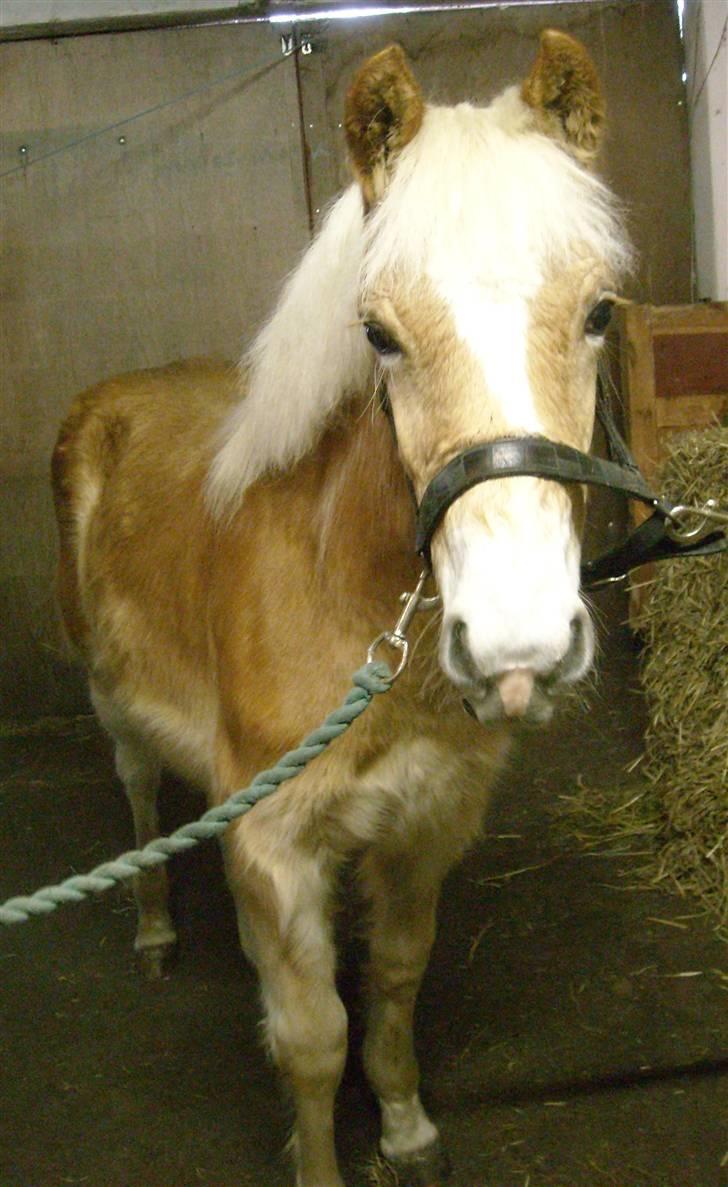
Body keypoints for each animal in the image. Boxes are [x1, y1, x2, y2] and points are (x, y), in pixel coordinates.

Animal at [51, 30, 631, 1187]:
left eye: (597, 312)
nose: (517, 640)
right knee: (137, 792)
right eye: (378, 332)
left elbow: (396, 983)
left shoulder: (426, 825)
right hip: (108, 697)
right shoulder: (272, 846)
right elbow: (314, 1038)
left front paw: (404, 1127)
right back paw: (152, 930)